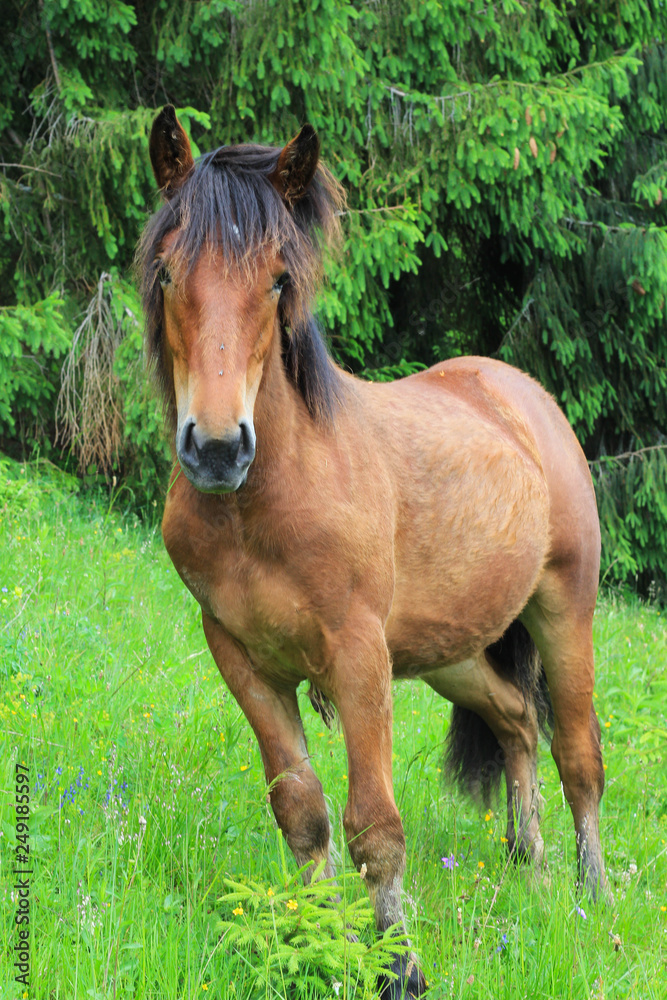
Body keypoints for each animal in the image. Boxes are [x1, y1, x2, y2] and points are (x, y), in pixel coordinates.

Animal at [138, 105, 607, 999]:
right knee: (515, 720)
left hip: (563, 611)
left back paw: (588, 895)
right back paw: (528, 866)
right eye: (170, 272)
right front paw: (314, 946)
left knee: (577, 755)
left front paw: (398, 966)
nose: (215, 448)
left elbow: (373, 828)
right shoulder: (244, 661)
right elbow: (303, 813)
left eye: (277, 280)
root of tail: (517, 394)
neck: (265, 505)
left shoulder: (357, 657)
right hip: (451, 652)